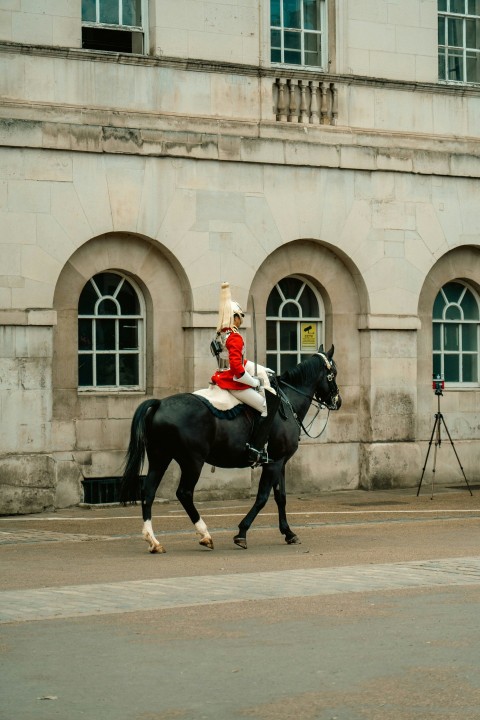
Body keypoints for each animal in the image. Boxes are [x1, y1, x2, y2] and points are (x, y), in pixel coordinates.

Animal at [120, 345, 341, 552]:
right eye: (334, 372)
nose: (338, 402)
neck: (287, 404)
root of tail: (159, 404)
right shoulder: (274, 463)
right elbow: (262, 497)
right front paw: (242, 533)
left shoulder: (280, 462)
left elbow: (281, 497)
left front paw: (288, 533)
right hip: (193, 461)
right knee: (184, 493)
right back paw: (204, 535)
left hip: (160, 458)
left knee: (148, 492)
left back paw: (154, 541)